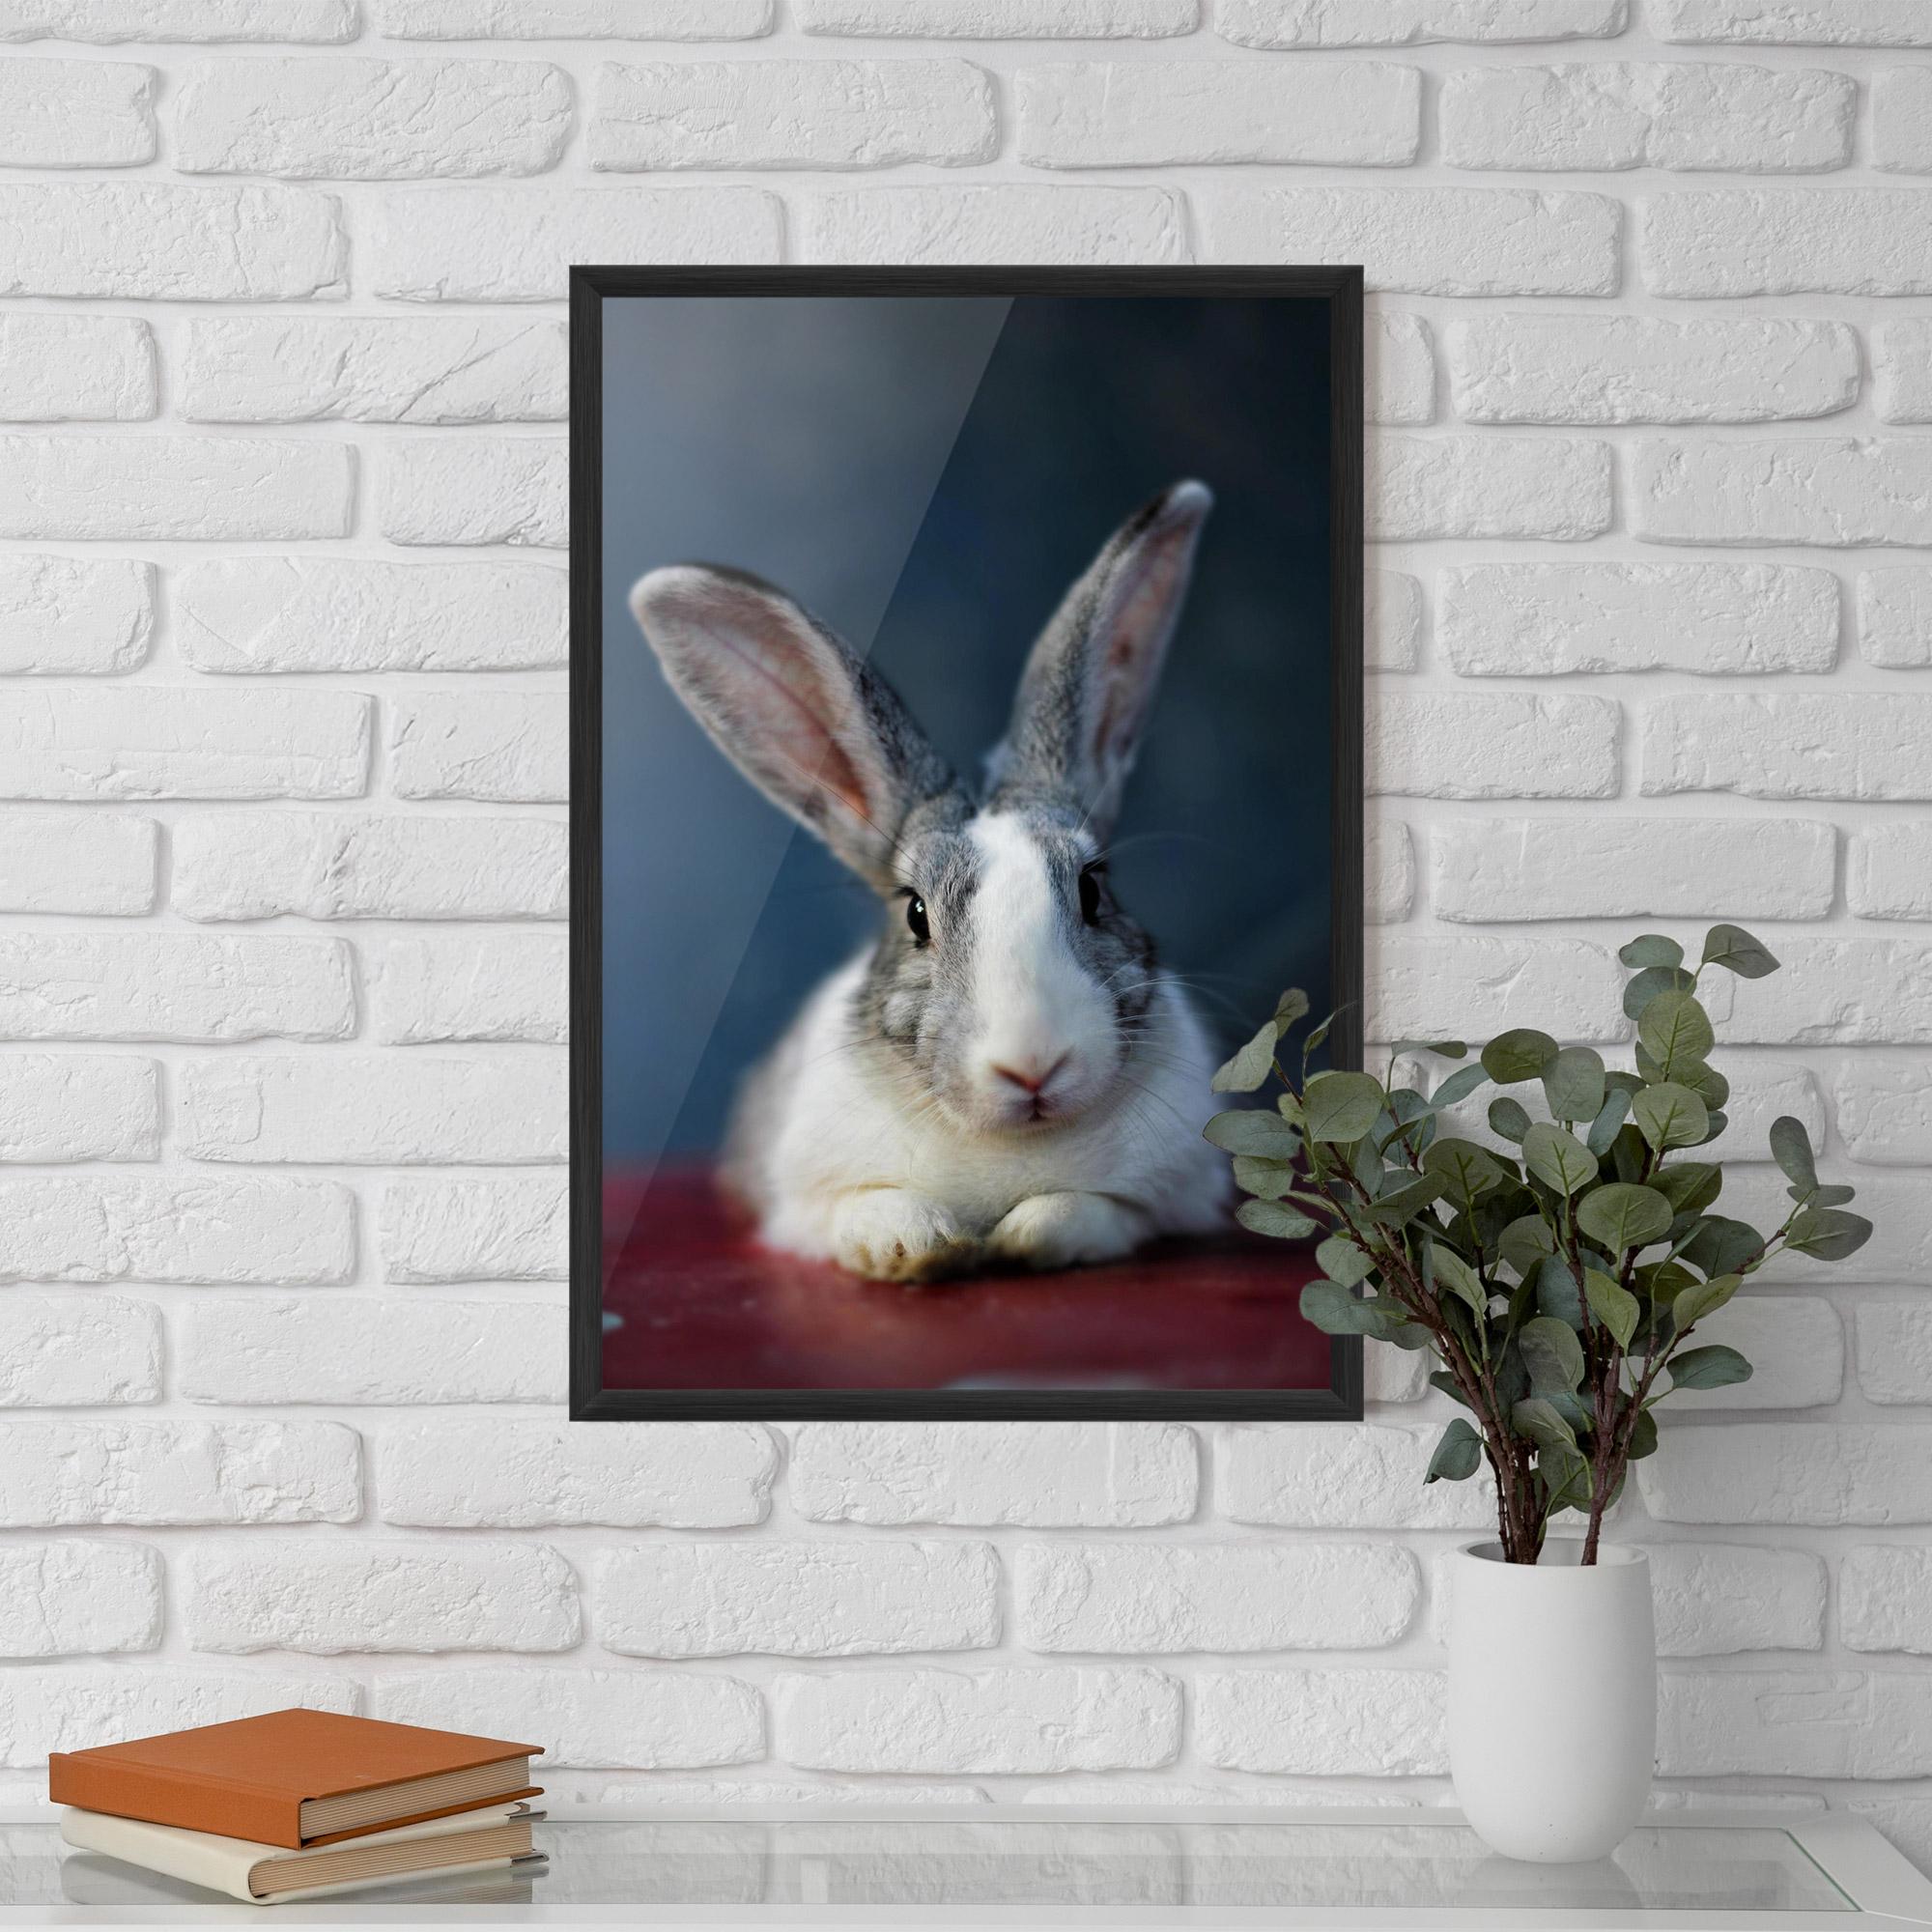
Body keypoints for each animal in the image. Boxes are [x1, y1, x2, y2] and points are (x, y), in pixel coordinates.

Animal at [629, 479, 1232, 1283]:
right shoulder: (804, 1204)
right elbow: (869, 1210)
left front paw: (1022, 1236)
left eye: (1093, 889)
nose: (1033, 1065)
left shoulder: (1166, 1199)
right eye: (916, 915)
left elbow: (1086, 1212)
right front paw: (919, 1247)